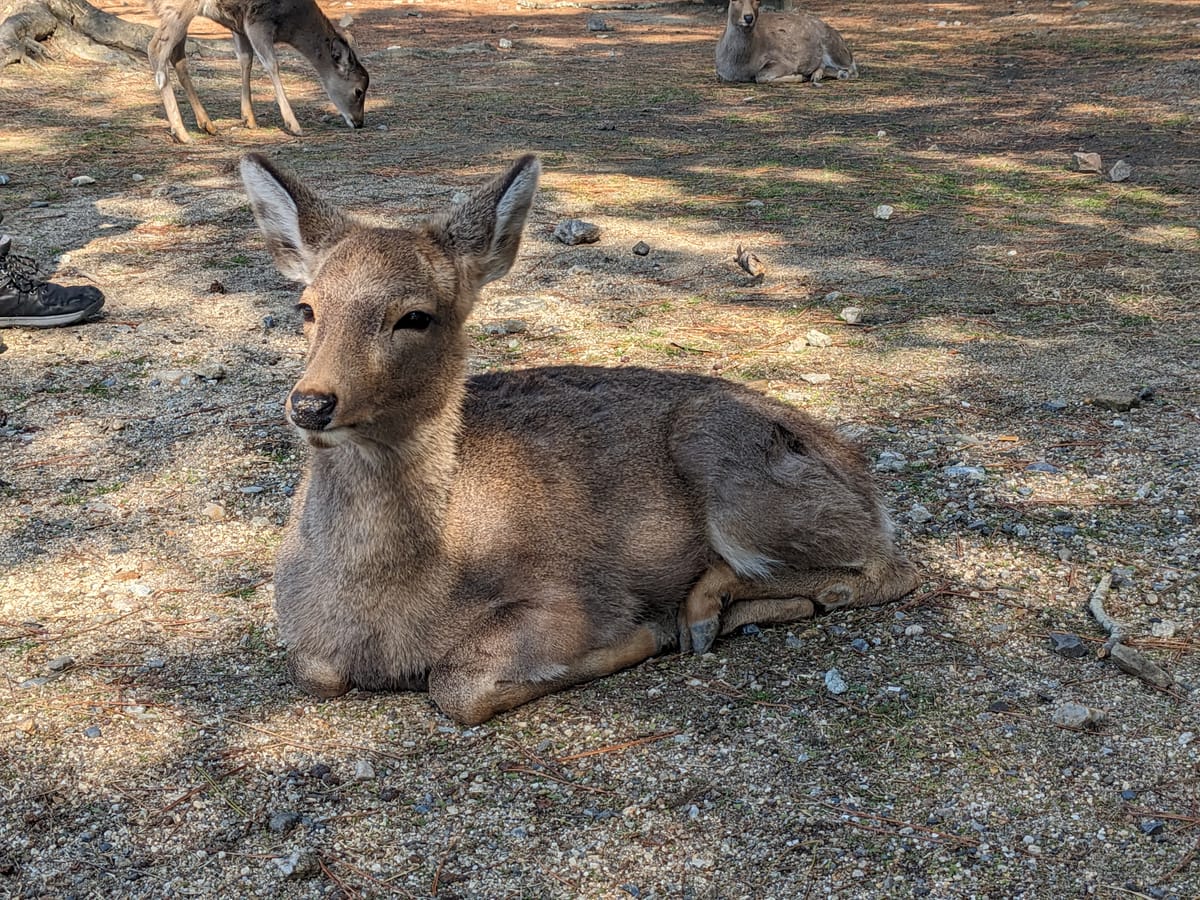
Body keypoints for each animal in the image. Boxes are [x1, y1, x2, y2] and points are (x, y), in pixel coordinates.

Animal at [148, 0, 369, 143]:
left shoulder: (239, 25)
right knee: (156, 49)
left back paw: (207, 124)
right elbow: (271, 64)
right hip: (178, 7)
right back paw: (182, 133)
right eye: (358, 91)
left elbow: (246, 59)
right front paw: (293, 125)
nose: (359, 122)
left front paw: (249, 119)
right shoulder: (258, 19)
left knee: (177, 55)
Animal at [239, 152, 919, 726]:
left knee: (891, 567)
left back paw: (702, 612)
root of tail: (866, 482)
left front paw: (642, 636)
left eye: (415, 315)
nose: (311, 403)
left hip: (737, 475)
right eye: (306, 308)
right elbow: (314, 672)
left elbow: (456, 687)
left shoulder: (574, 596)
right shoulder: (304, 641)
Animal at [716, 0, 857, 84]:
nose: (748, 17)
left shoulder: (785, 61)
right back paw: (816, 75)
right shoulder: (719, 72)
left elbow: (760, 76)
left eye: (757, 1)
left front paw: (798, 76)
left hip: (836, 49)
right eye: (735, 0)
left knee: (853, 69)